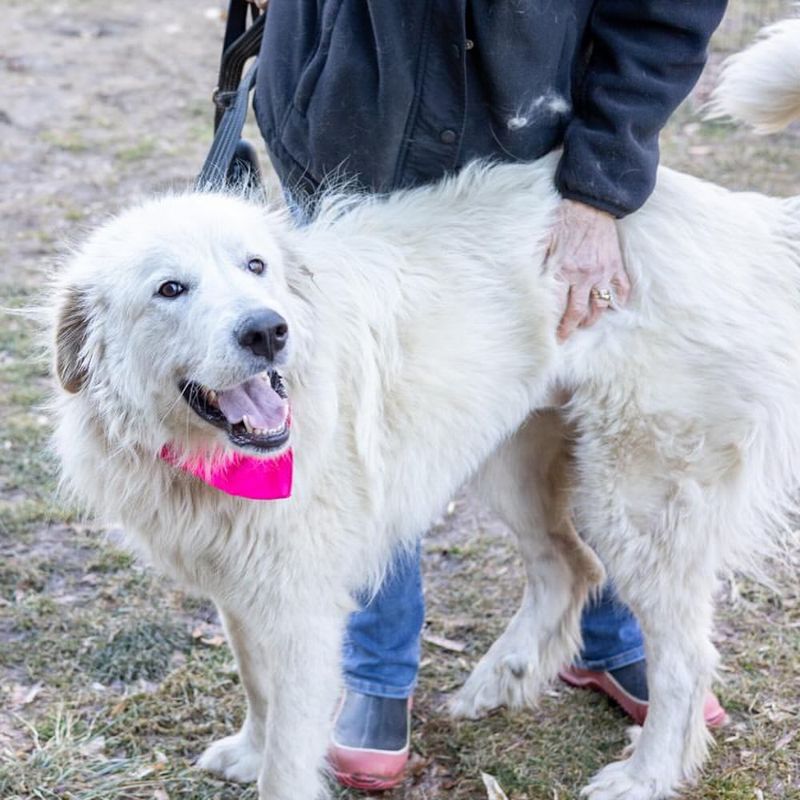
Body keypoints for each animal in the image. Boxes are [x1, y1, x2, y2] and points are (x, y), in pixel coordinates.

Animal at [51, 23, 800, 800]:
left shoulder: (300, 608)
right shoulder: (243, 590)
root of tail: (739, 215)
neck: (211, 458)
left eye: (255, 266)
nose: (268, 331)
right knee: (569, 567)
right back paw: (504, 678)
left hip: (638, 497)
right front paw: (249, 749)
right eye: (170, 289)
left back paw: (645, 773)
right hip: (511, 459)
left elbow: (289, 746)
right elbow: (256, 684)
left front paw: (270, 763)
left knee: (681, 655)